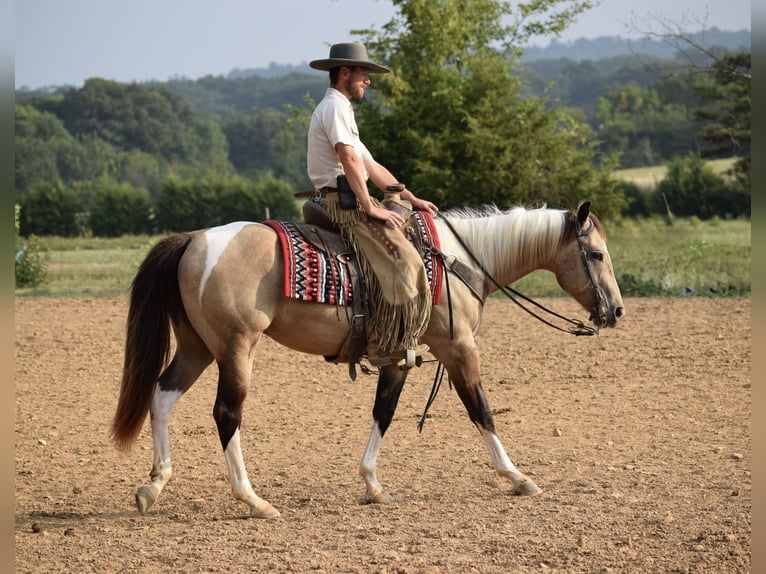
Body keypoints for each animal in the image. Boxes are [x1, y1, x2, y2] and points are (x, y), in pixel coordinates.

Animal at [111, 200, 625, 519]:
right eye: (597, 254)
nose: (616, 311)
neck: (458, 261)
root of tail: (194, 240)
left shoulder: (397, 358)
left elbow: (384, 413)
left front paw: (373, 485)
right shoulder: (459, 347)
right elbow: (481, 409)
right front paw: (517, 477)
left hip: (197, 347)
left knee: (161, 397)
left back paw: (153, 485)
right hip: (236, 348)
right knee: (226, 414)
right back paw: (253, 500)